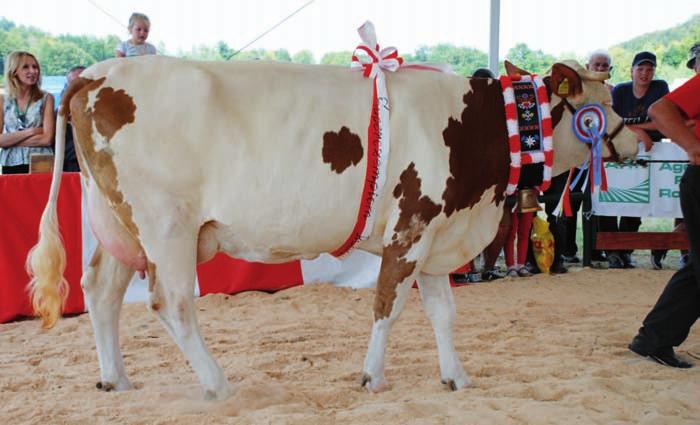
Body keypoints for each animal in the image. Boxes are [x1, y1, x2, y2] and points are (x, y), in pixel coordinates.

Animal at [27, 56, 640, 398]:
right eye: (600, 104)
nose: (637, 136)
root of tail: (97, 72)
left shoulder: (438, 232)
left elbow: (443, 313)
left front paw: (456, 378)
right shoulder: (410, 226)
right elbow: (388, 304)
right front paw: (372, 378)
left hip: (119, 223)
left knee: (99, 290)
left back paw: (116, 379)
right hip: (165, 225)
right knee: (171, 304)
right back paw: (217, 385)